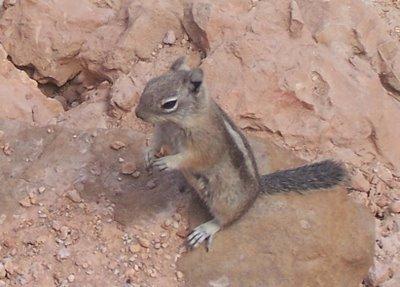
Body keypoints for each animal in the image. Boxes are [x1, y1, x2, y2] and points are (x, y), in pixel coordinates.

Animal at [134, 57, 346, 251]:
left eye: (169, 104)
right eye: (150, 83)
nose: (138, 114)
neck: (181, 121)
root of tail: (258, 188)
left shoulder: (205, 145)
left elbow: (191, 157)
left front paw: (168, 162)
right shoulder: (163, 130)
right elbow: (156, 141)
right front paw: (148, 154)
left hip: (224, 200)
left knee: (225, 220)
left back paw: (205, 229)